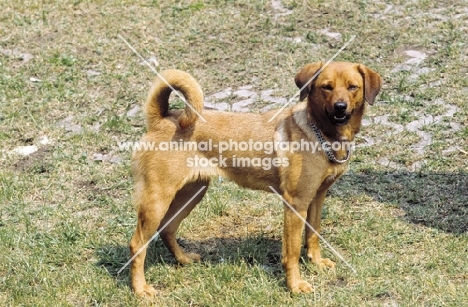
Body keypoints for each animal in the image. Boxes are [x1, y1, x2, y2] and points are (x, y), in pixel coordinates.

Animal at [128, 61, 380, 298]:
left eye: (353, 87)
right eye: (326, 87)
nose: (340, 107)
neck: (320, 133)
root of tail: (161, 119)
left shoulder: (317, 198)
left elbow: (313, 234)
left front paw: (316, 263)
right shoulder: (295, 203)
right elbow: (292, 252)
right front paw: (295, 285)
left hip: (192, 192)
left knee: (167, 228)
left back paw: (183, 259)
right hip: (158, 199)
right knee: (137, 244)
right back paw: (140, 289)